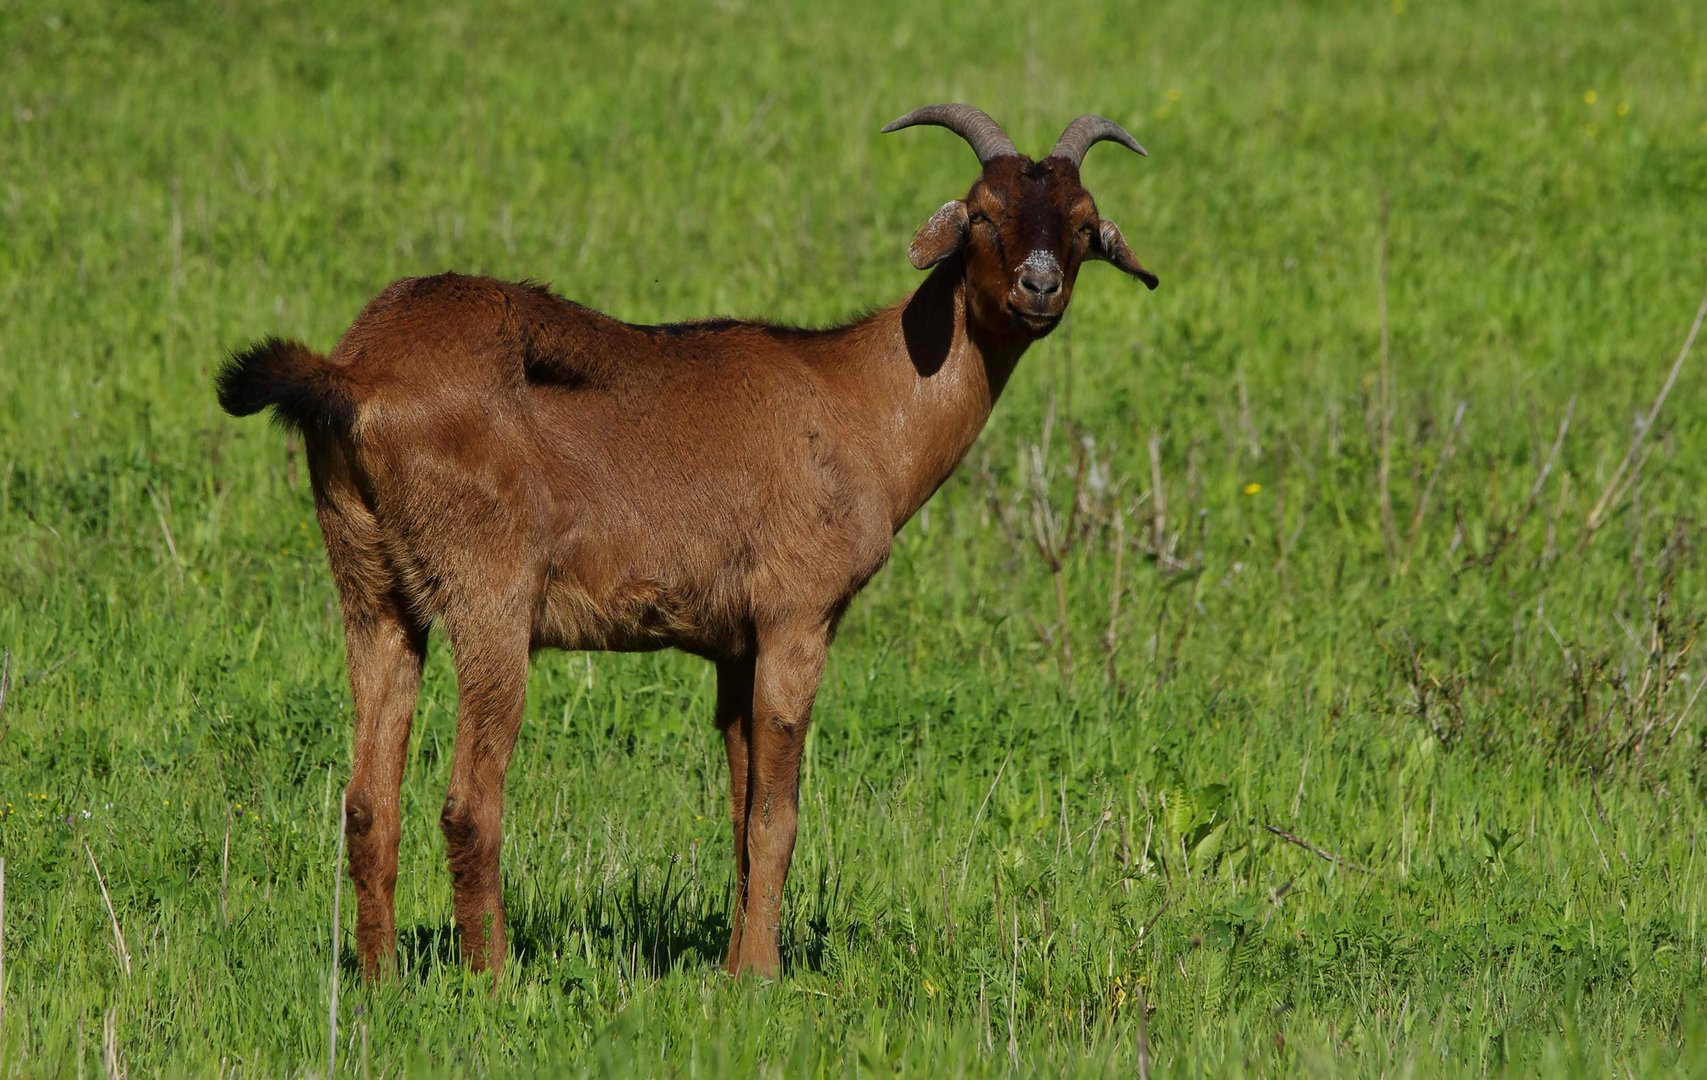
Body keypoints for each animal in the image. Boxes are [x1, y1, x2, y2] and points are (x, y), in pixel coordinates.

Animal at [216, 105, 1160, 982]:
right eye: (985, 213)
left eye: (1083, 223)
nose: (1039, 287)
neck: (857, 400)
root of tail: (356, 375)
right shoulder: (796, 617)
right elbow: (778, 812)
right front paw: (762, 977)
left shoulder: (732, 646)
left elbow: (740, 811)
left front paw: (734, 962)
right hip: (489, 596)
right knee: (468, 804)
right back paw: (493, 980)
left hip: (371, 590)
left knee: (366, 801)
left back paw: (378, 982)